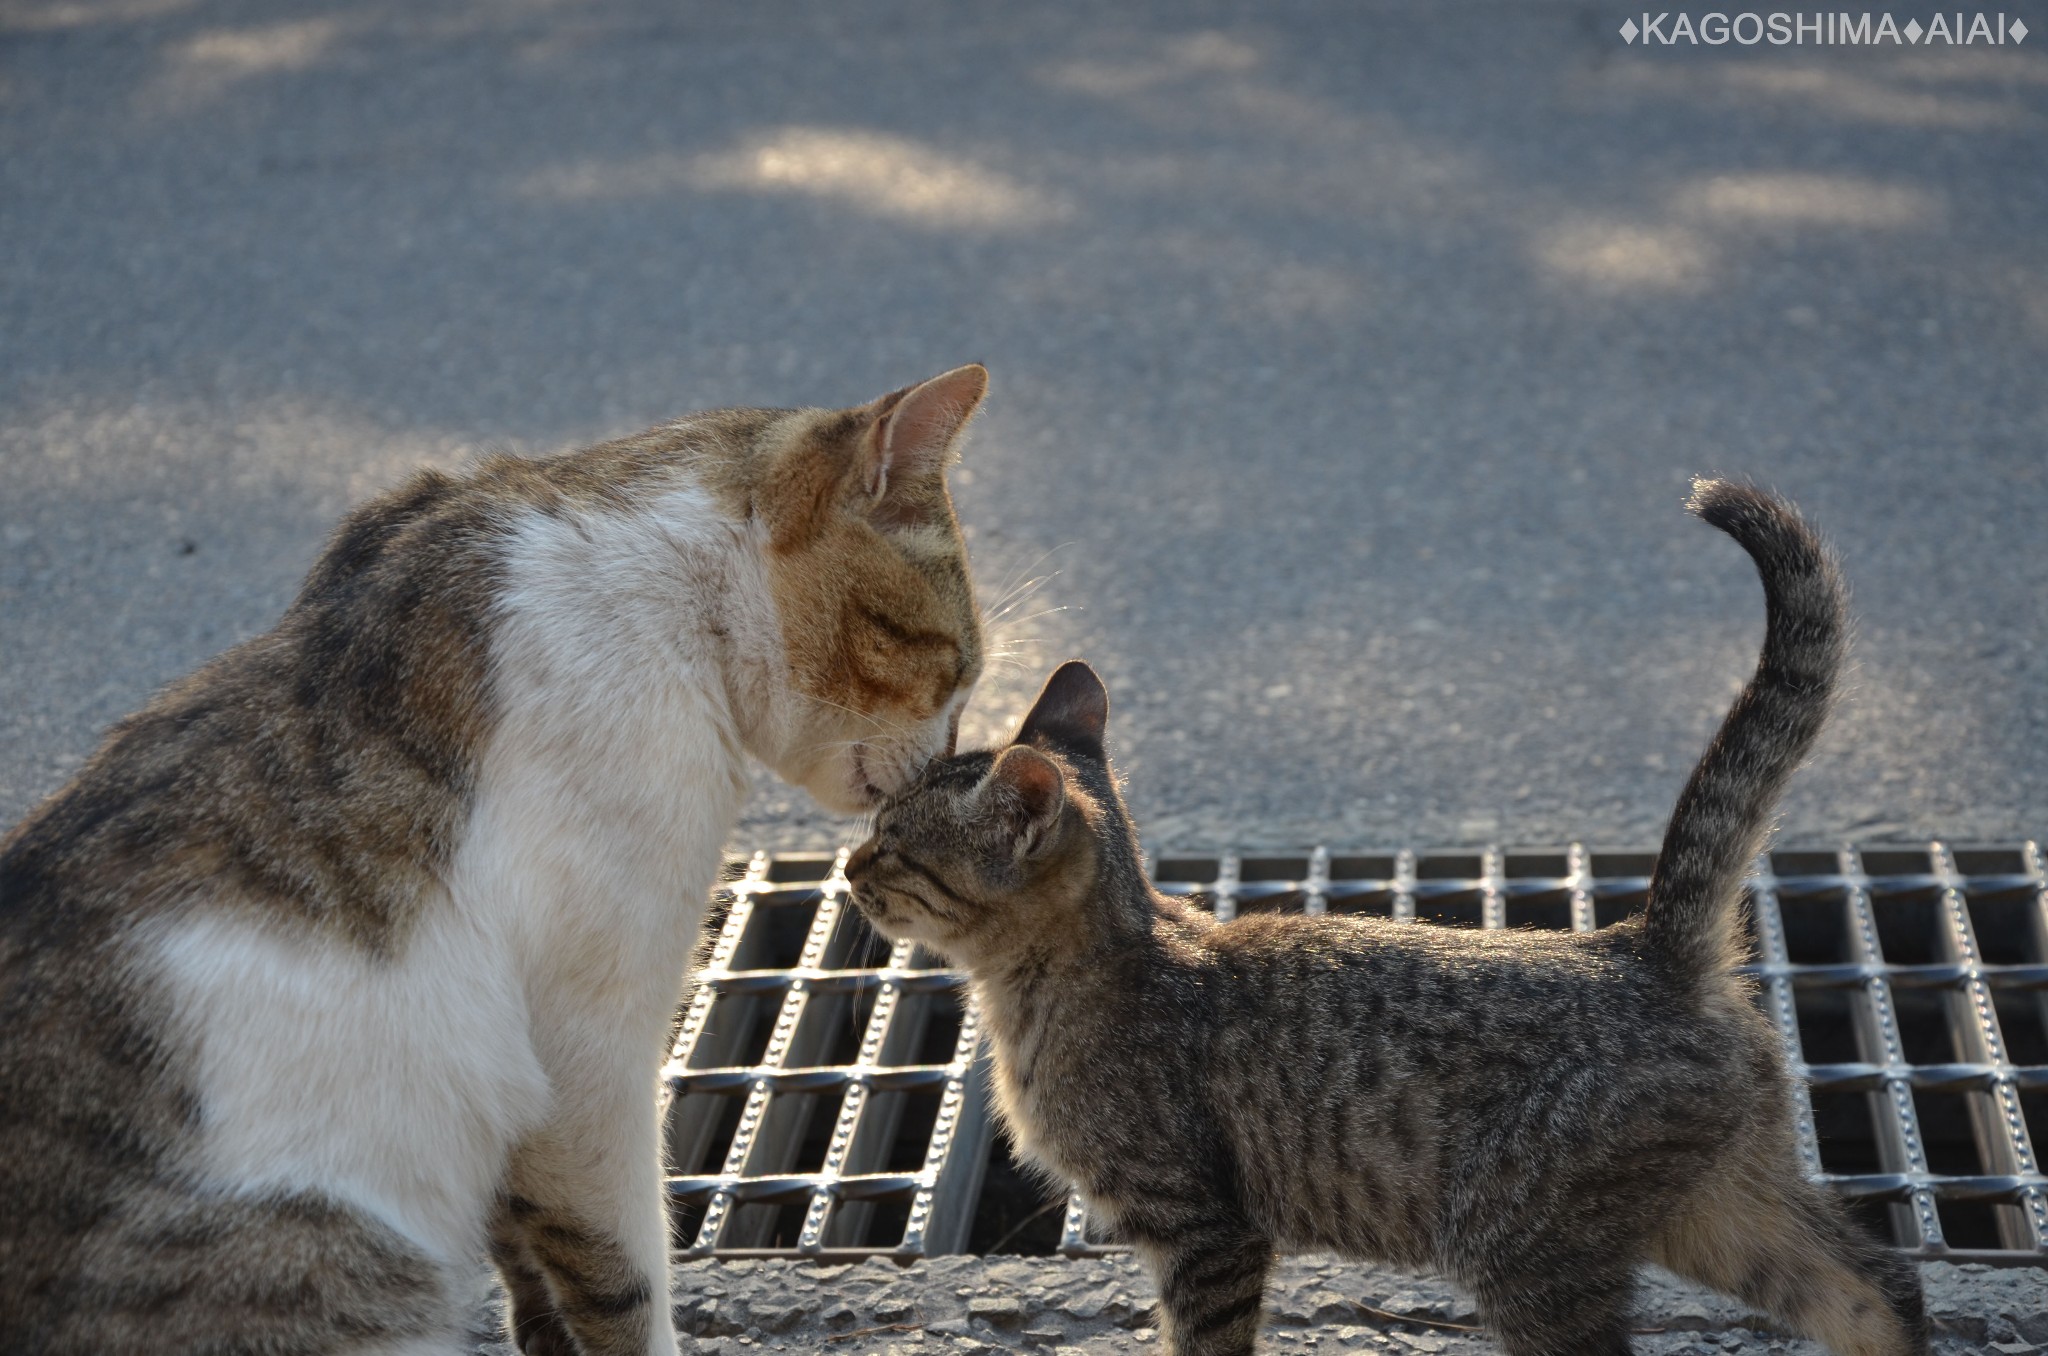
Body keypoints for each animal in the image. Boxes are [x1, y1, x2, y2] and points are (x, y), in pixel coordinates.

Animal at [839, 483, 1925, 1351]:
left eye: (891, 842)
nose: (847, 865)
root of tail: (1640, 946)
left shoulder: (1205, 1228)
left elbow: (1201, 1344)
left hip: (1525, 1249)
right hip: (1719, 1211)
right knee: (1879, 1284)